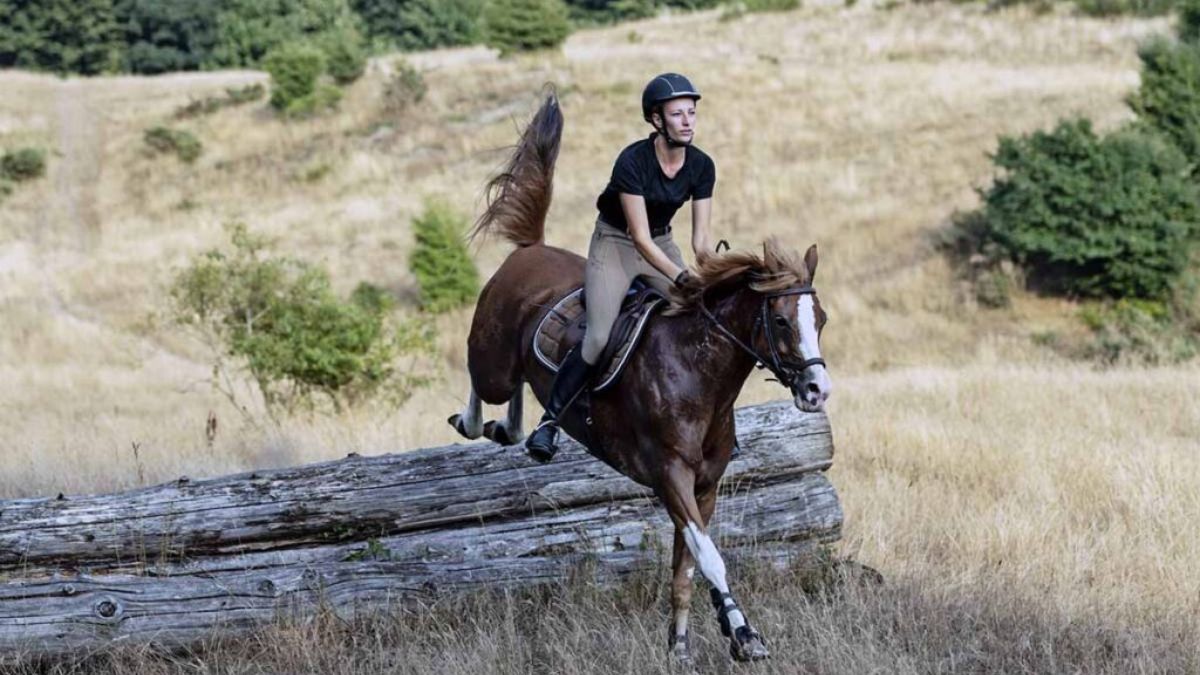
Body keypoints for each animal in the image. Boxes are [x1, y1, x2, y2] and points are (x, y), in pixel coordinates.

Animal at [448, 92, 832, 663]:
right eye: (782, 321)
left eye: (821, 320)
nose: (817, 390)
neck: (700, 376)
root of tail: (529, 251)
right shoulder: (669, 475)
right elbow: (710, 558)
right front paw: (744, 635)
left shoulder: (704, 484)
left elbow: (686, 567)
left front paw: (682, 646)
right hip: (492, 358)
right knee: (482, 384)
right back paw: (488, 424)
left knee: (514, 409)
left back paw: (519, 430)